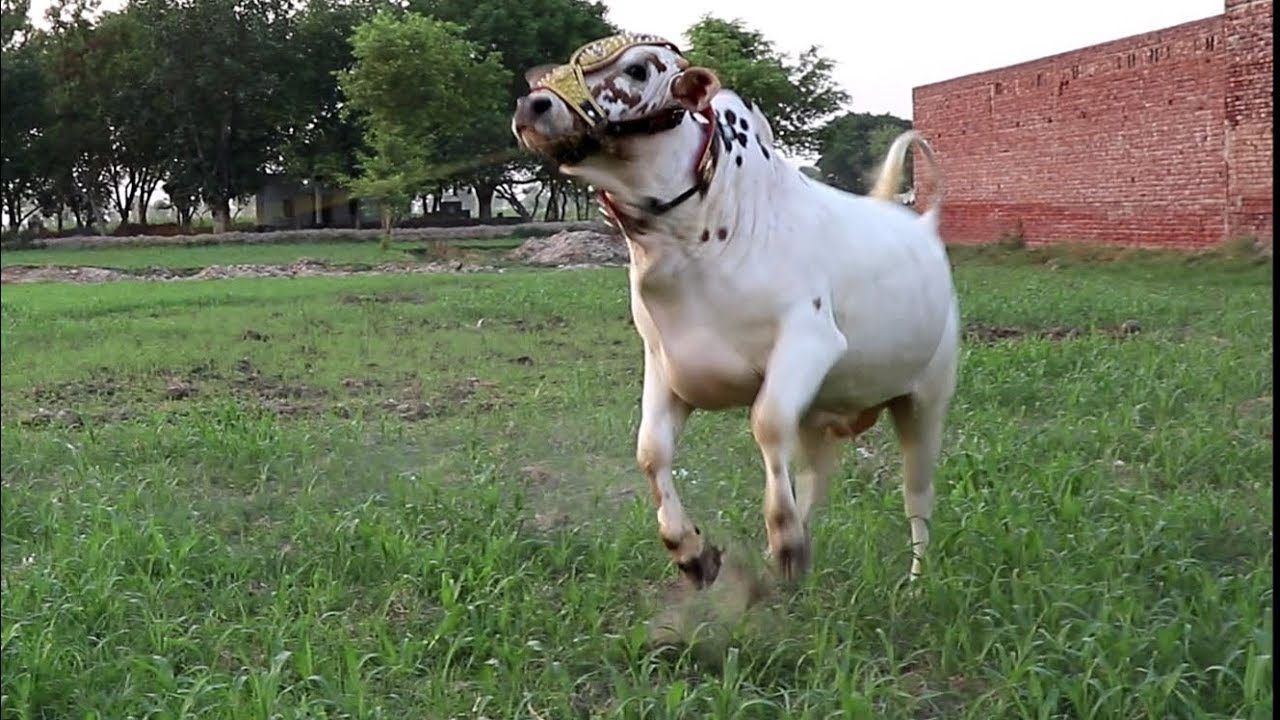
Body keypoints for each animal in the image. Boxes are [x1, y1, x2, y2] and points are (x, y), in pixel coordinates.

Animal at [511, 33, 960, 588]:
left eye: (639, 69)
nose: (532, 105)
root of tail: (924, 223)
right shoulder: (664, 364)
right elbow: (651, 451)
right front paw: (692, 552)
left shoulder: (808, 341)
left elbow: (766, 424)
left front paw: (782, 542)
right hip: (823, 416)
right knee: (815, 480)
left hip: (925, 400)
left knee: (917, 496)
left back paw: (916, 581)